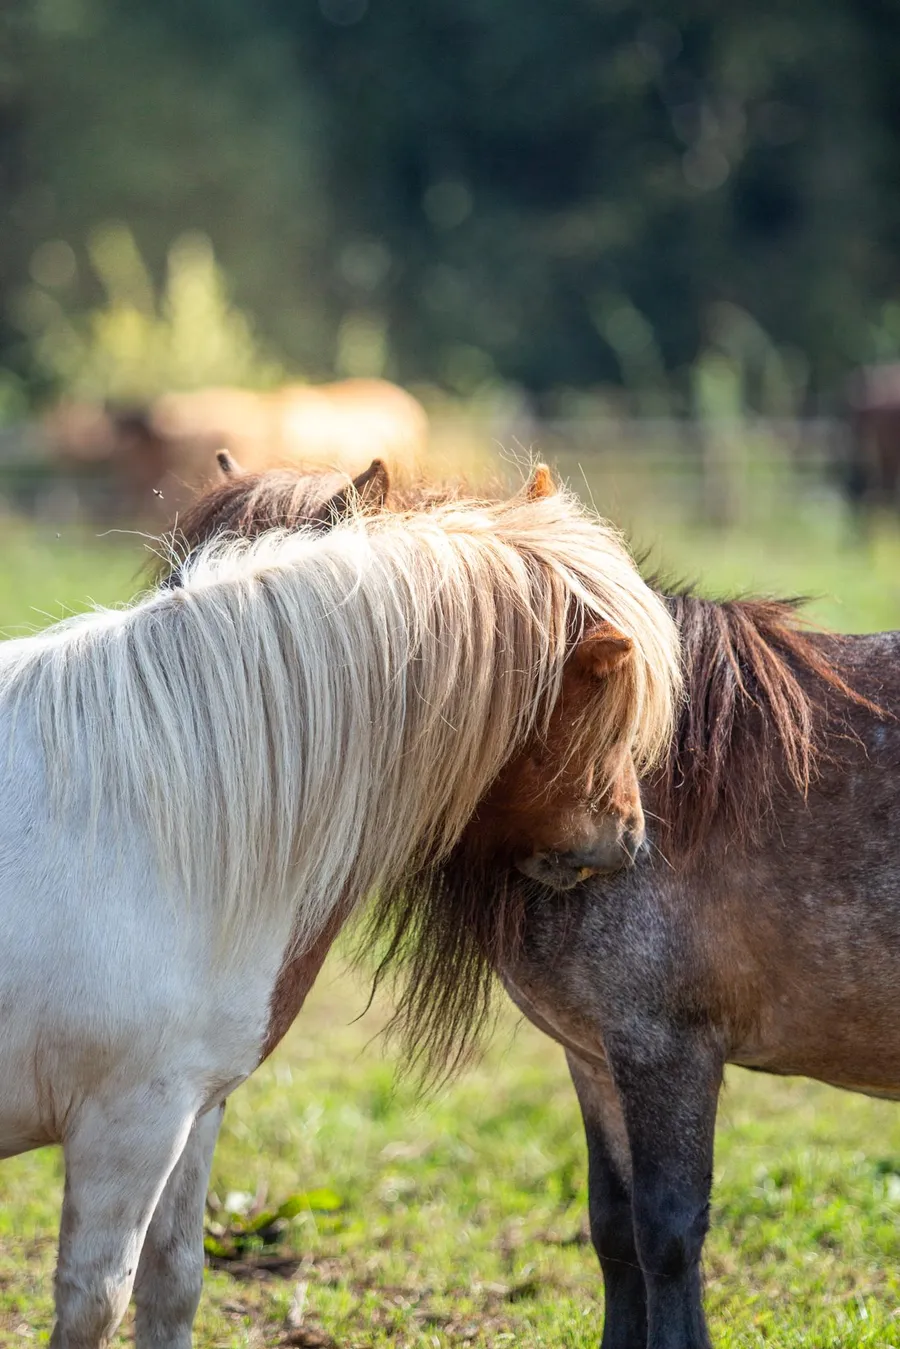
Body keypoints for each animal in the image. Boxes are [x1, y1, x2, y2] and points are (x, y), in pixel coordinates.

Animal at [0, 469, 681, 1349]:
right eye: (603, 698)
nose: (628, 837)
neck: (144, 813)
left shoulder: (191, 1108)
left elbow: (171, 1283)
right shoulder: (127, 1124)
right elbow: (96, 1299)